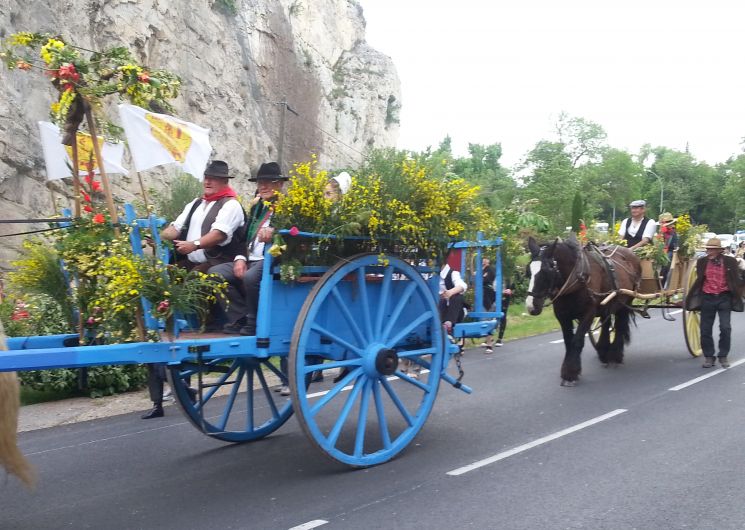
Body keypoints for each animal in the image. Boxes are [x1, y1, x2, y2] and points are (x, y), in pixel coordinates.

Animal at [528, 234, 644, 384]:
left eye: (546, 271)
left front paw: (570, 373)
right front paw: (569, 370)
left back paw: (615, 355)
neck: (578, 277)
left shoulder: (588, 313)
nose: (531, 306)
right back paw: (603, 351)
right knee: (606, 323)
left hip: (625, 301)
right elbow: (568, 341)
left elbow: (577, 341)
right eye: (528, 271)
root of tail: (630, 253)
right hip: (606, 303)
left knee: (620, 325)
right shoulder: (562, 315)